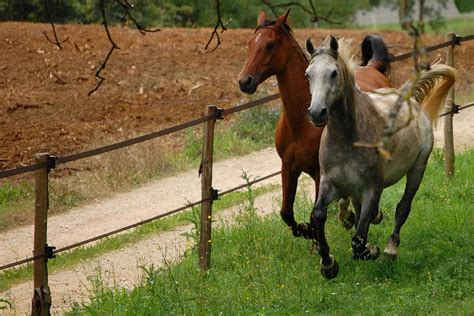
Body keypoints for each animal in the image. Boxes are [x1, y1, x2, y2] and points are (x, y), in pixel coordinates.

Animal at [237, 10, 392, 237]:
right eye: (249, 43)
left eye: (270, 44)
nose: (244, 81)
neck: (301, 125)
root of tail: (373, 68)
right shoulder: (288, 167)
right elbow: (286, 213)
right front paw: (305, 231)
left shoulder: (320, 174)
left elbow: (314, 215)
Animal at [304, 35, 456, 278]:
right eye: (308, 74)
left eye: (334, 73)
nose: (317, 113)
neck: (348, 139)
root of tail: (409, 100)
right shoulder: (331, 183)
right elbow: (318, 215)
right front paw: (328, 264)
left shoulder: (371, 189)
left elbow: (358, 240)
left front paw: (372, 250)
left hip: (417, 169)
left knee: (403, 208)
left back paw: (390, 250)